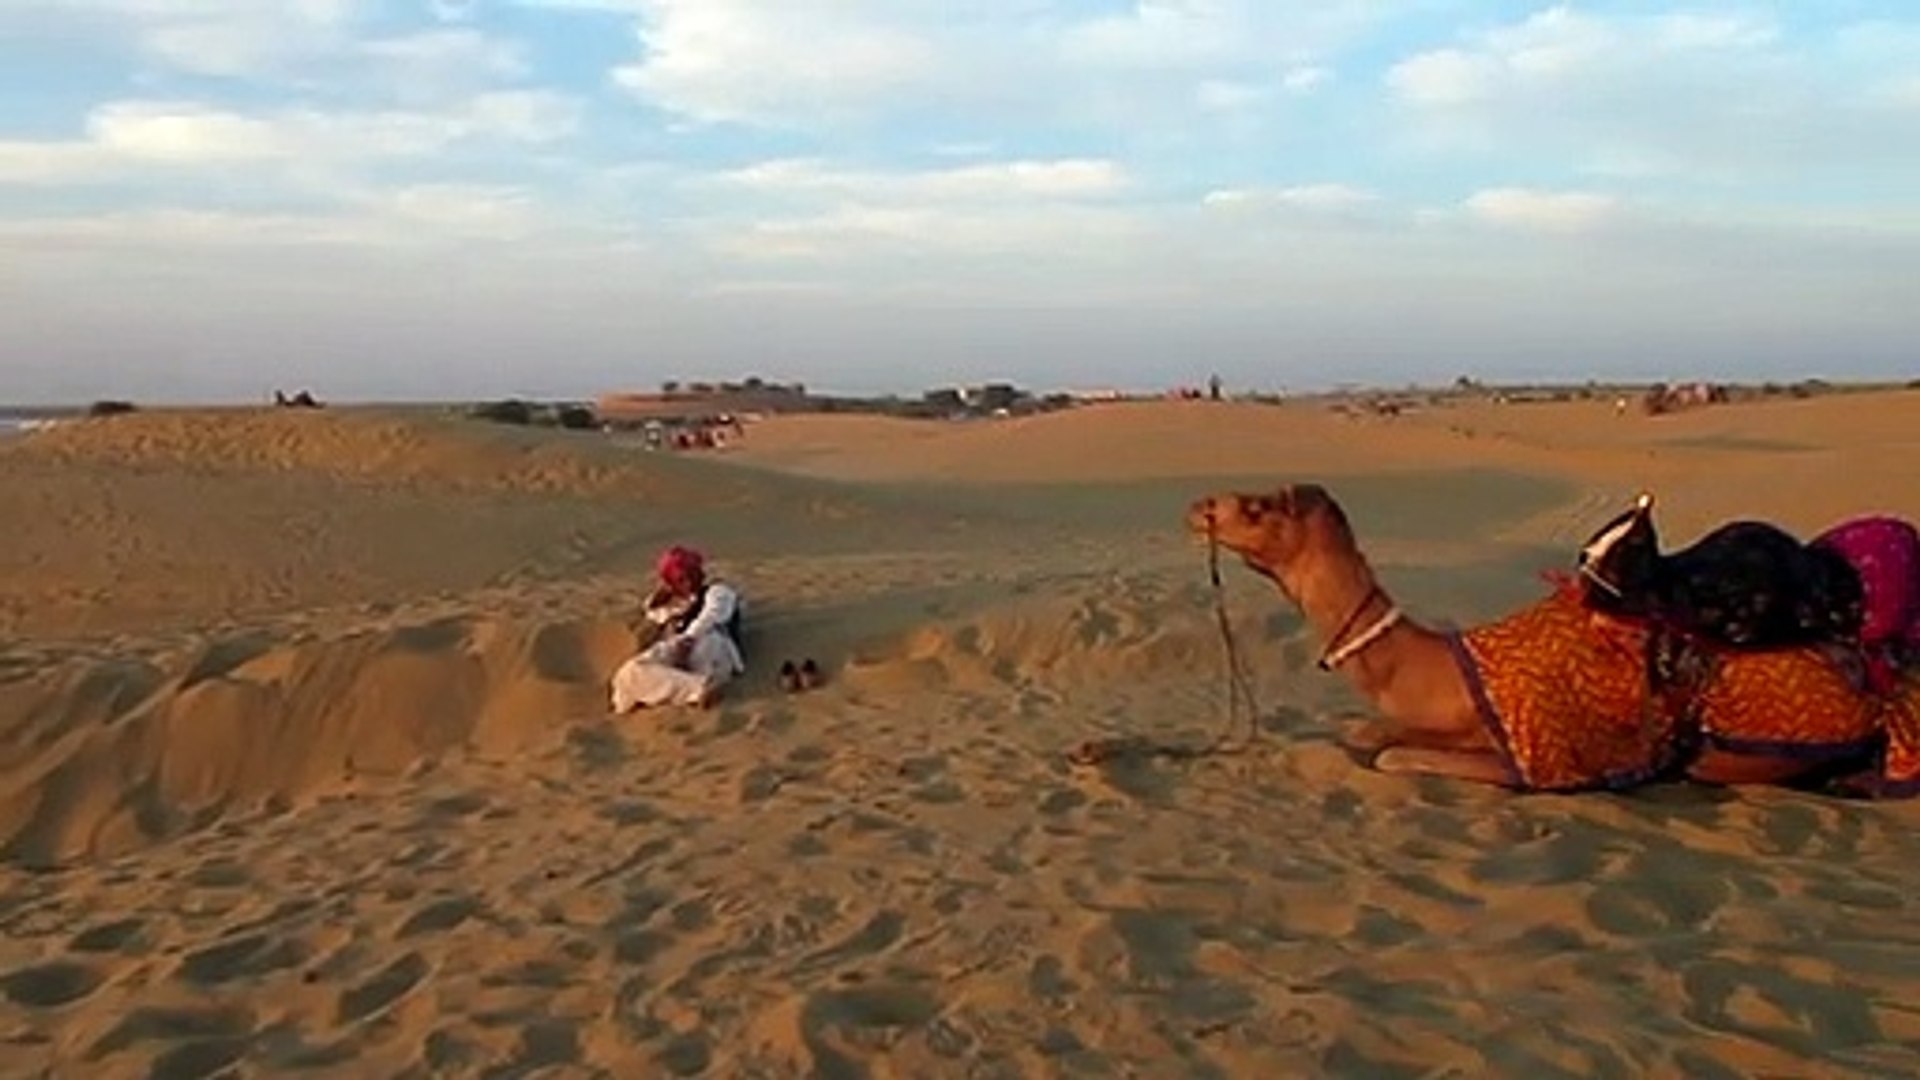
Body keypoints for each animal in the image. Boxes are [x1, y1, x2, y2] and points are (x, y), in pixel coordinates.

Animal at [1185, 484, 1906, 792]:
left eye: (1258, 508)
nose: (1199, 506)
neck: (1453, 667)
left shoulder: (1527, 756)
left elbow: (1392, 757)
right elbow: (1368, 734)